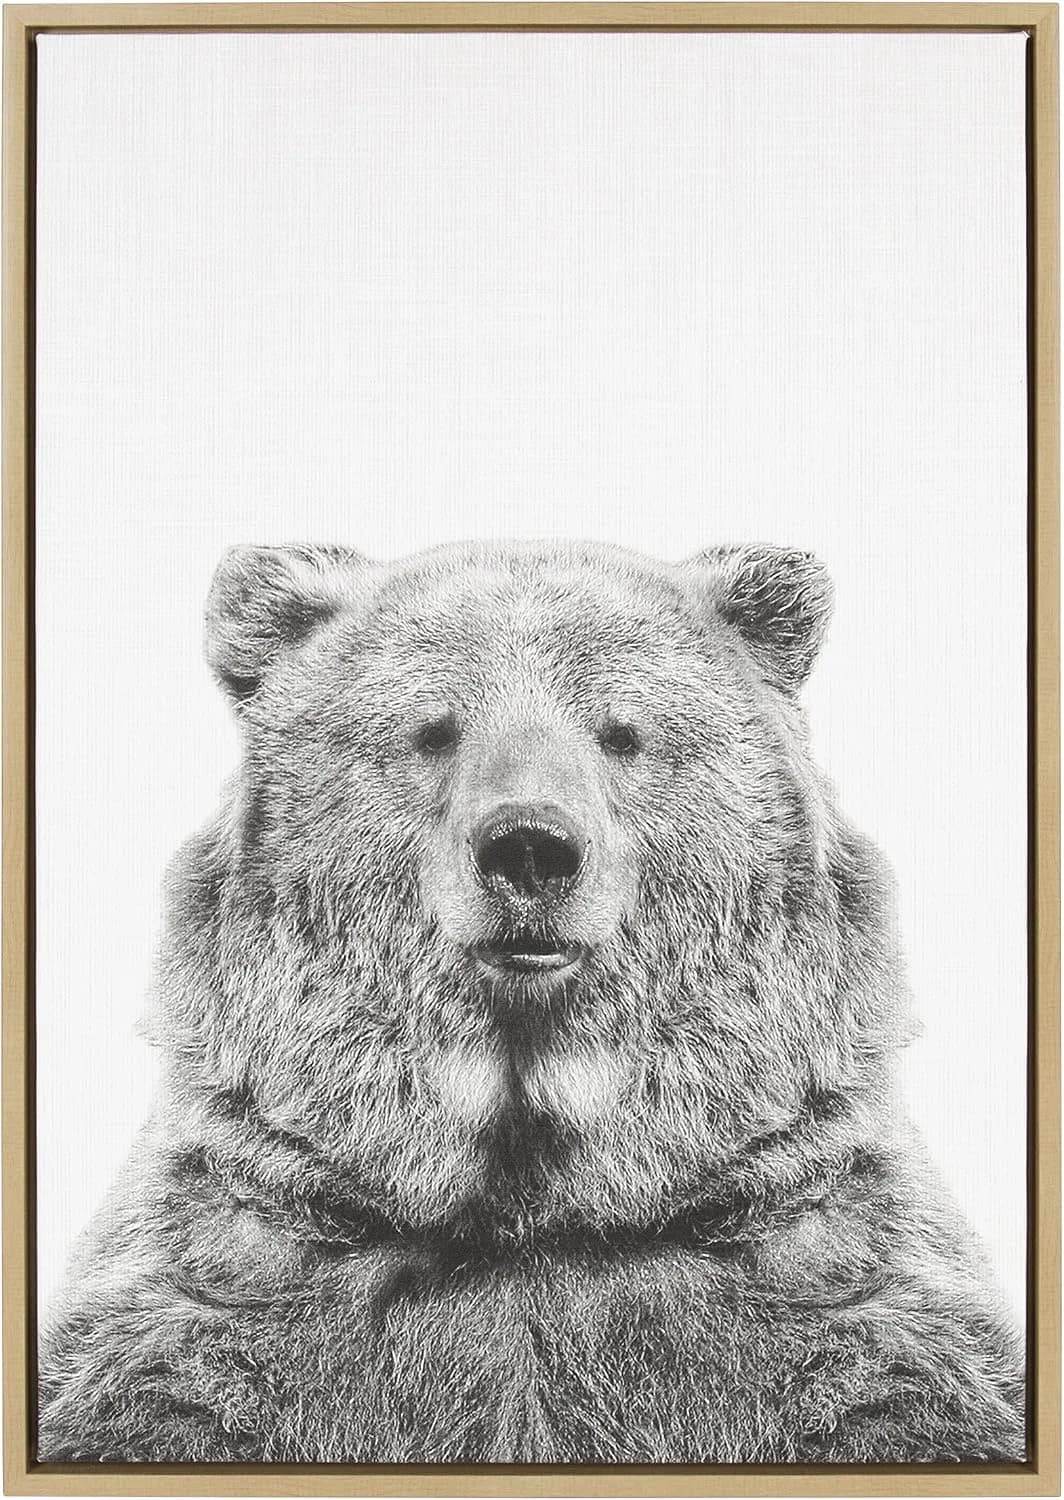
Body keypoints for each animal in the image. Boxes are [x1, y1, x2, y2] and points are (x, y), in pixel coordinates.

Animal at [38, 539, 1025, 1465]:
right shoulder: (239, 1264)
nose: (530, 847)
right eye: (434, 729)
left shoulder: (815, 1259)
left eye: (621, 732)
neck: (529, 1199)